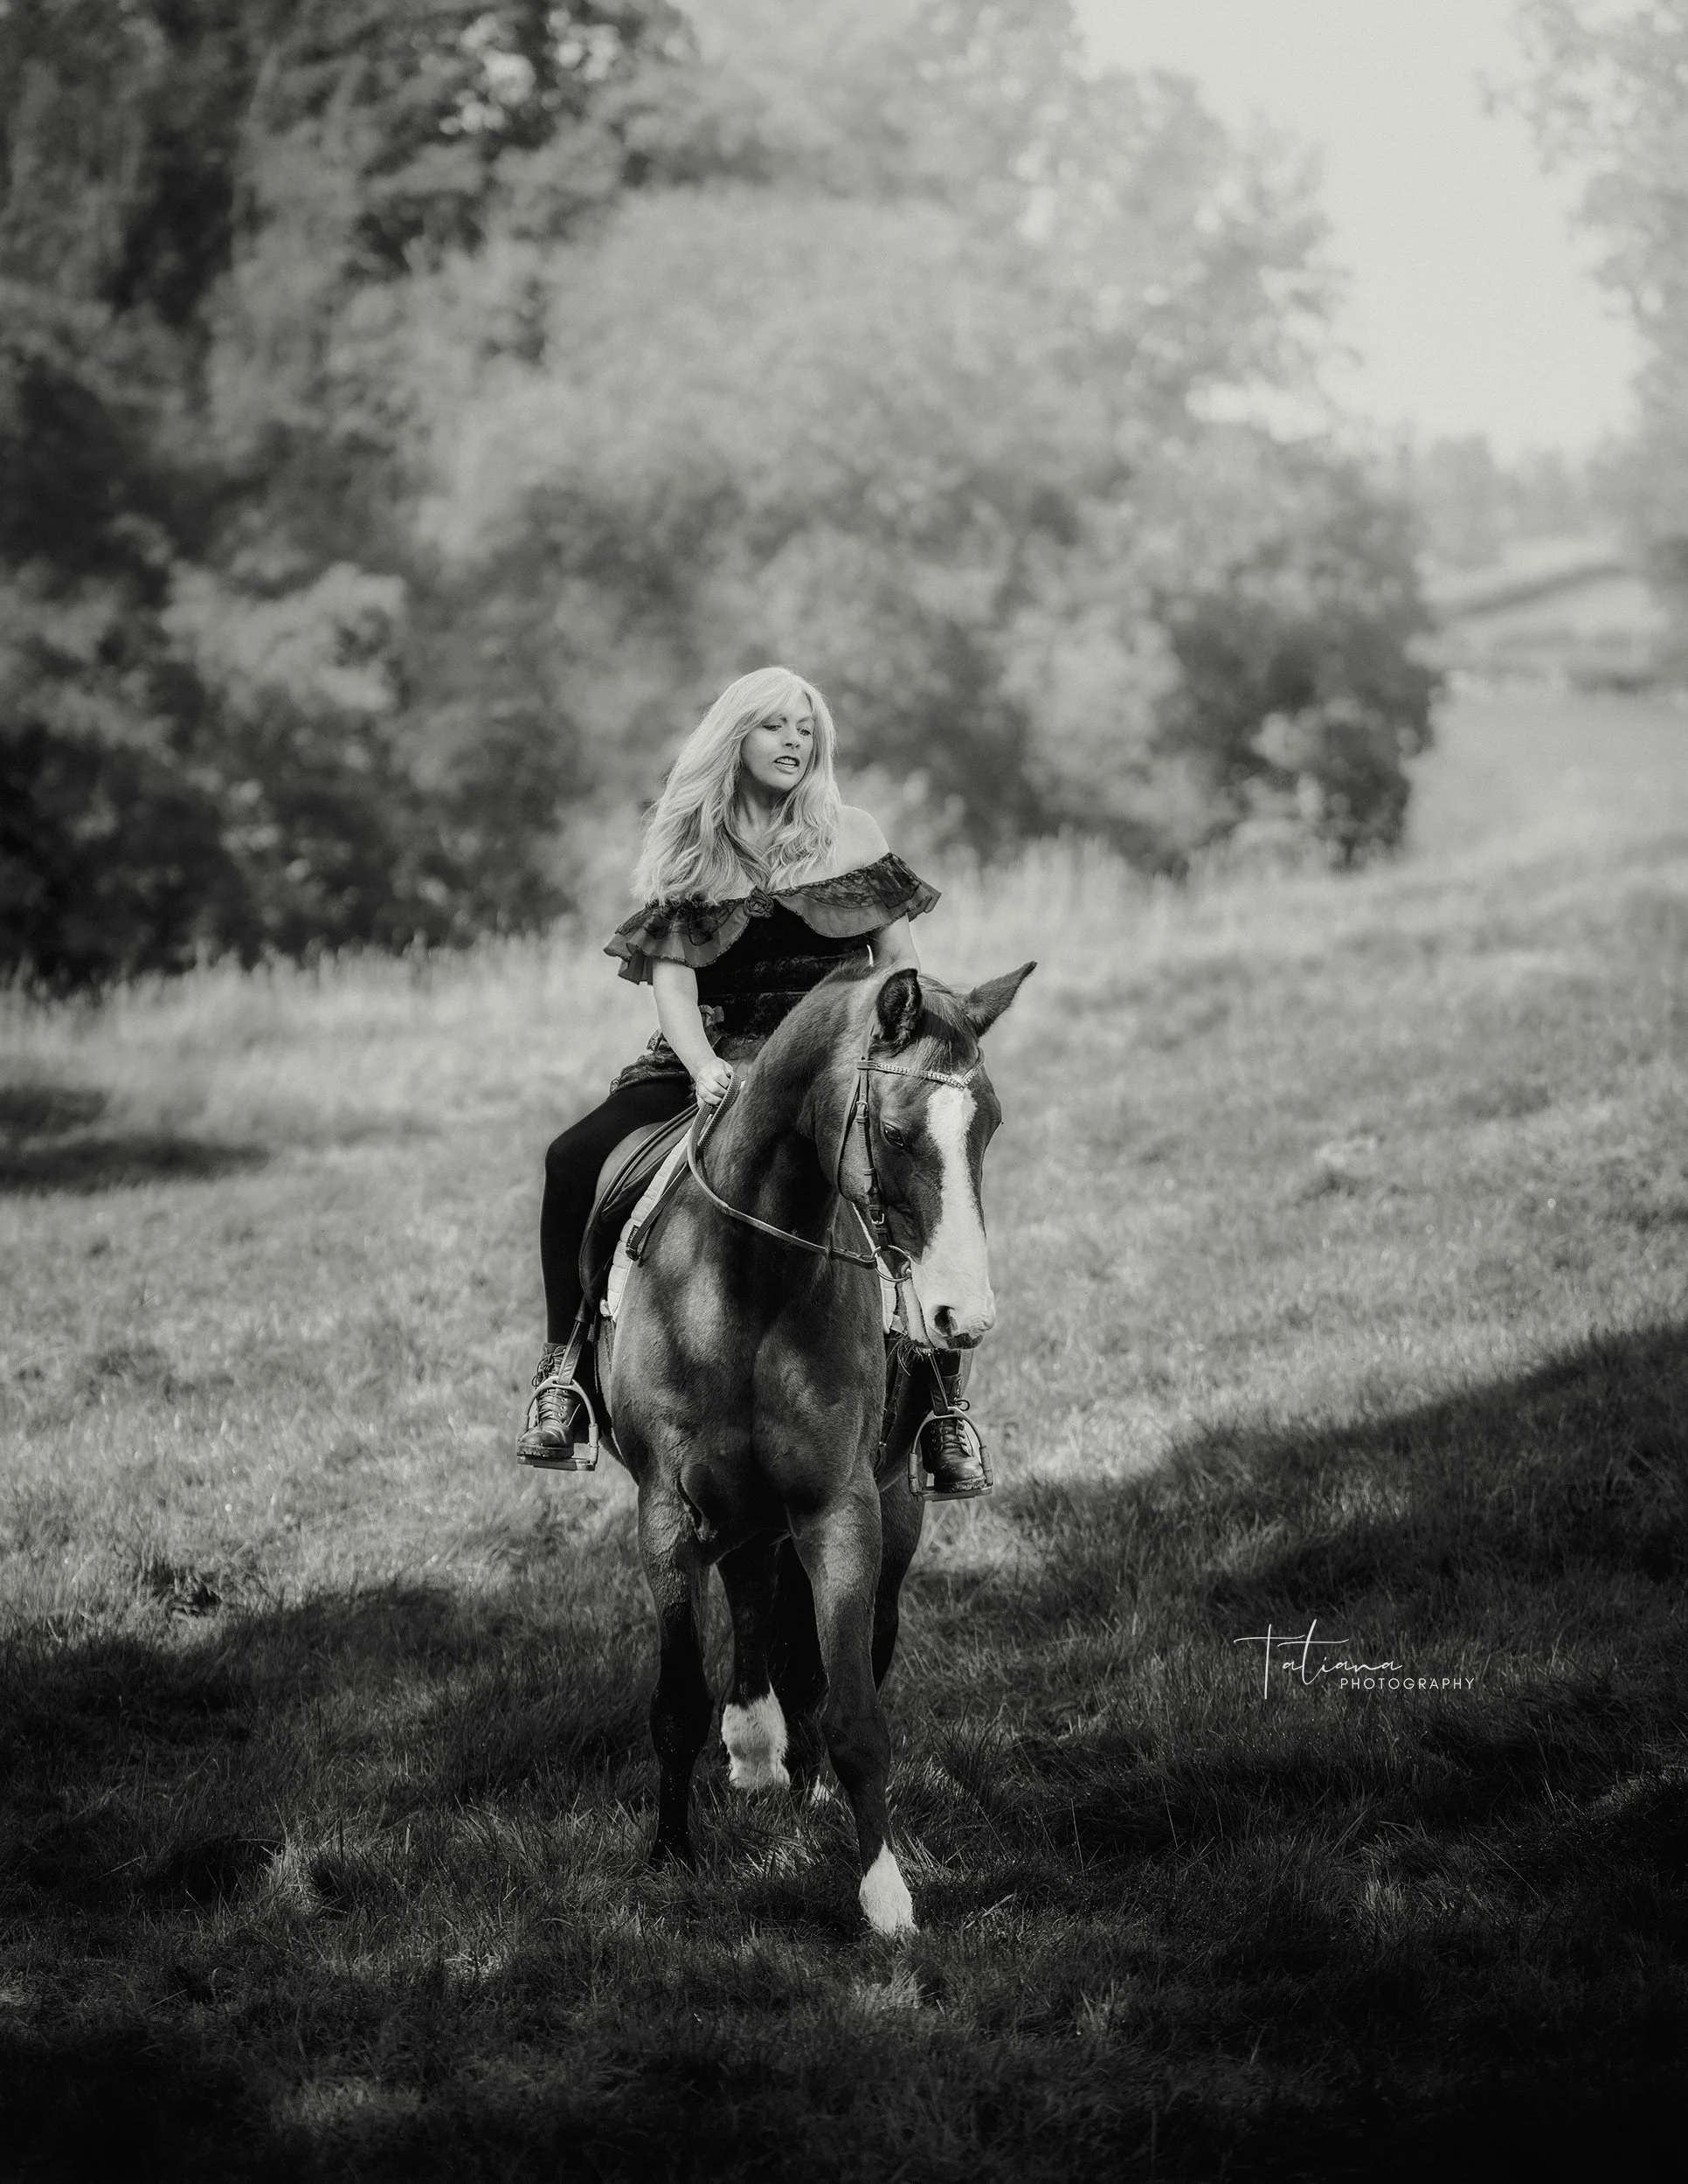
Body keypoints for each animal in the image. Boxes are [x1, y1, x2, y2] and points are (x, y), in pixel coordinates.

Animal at [596, 957, 1034, 1934]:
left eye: (989, 1125)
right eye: (896, 1132)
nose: (963, 1318)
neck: (746, 1284)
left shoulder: (840, 1510)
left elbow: (856, 1714)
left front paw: (884, 1894)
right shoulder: (664, 1513)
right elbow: (676, 1699)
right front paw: (671, 1856)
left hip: (887, 1511)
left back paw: (792, 1771)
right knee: (752, 1597)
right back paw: (756, 1747)